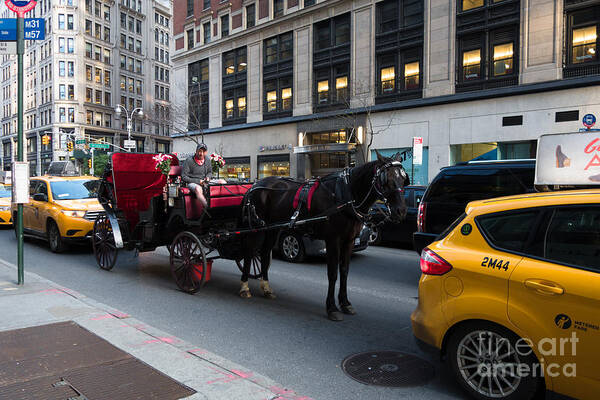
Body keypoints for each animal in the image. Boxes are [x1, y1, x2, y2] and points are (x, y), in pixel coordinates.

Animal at [237, 151, 410, 322]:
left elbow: (345, 271)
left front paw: (345, 303)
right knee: (249, 254)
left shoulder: (349, 240)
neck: (346, 194)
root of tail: (255, 185)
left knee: (265, 254)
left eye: (403, 179)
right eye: (386, 180)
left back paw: (266, 287)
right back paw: (244, 286)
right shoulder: (333, 240)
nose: (401, 211)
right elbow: (332, 274)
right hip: (255, 229)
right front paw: (332, 308)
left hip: (272, 229)